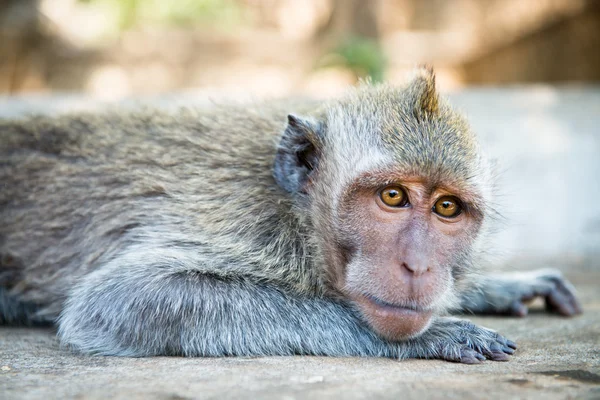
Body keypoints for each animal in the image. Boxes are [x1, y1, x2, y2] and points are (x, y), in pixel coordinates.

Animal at [0, 68, 580, 362]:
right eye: (393, 197)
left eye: (446, 208)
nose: (418, 265)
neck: (297, 215)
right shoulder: (244, 222)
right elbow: (119, 300)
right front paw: (431, 338)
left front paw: (499, 286)